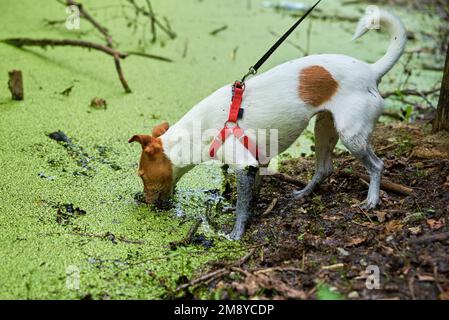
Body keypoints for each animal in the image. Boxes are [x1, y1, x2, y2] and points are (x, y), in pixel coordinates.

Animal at [130, 8, 406, 240]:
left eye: (141, 175)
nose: (142, 201)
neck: (196, 133)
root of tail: (371, 71)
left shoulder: (243, 164)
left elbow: (242, 207)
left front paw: (236, 234)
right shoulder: (257, 162)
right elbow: (252, 195)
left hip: (352, 135)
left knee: (377, 165)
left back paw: (372, 200)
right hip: (324, 128)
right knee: (325, 168)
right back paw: (303, 193)